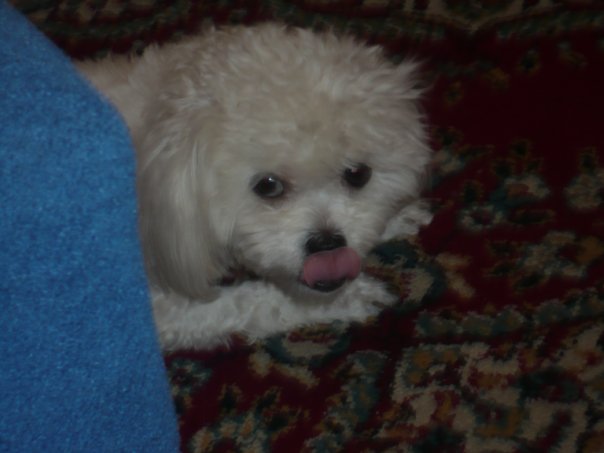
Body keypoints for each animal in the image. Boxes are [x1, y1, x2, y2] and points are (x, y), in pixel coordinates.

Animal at [78, 24, 432, 351]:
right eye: (268, 185)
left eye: (358, 174)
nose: (327, 244)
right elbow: (248, 303)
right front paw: (348, 300)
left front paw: (398, 217)